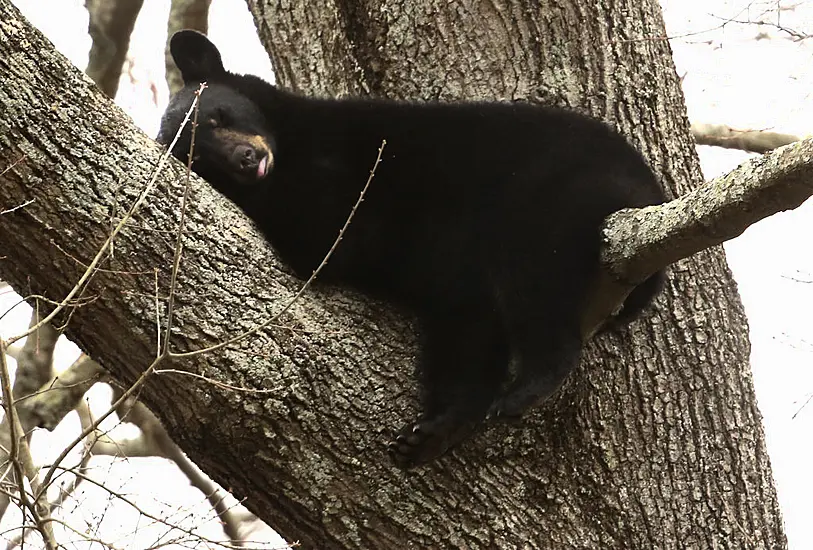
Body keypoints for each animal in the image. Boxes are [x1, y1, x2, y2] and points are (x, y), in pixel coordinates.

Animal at [159, 29, 668, 470]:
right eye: (198, 157)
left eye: (219, 117)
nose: (246, 161)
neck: (296, 148)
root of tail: (648, 190)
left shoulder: (358, 158)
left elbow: (332, 234)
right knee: (466, 338)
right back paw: (434, 433)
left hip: (552, 198)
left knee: (530, 285)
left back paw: (528, 386)